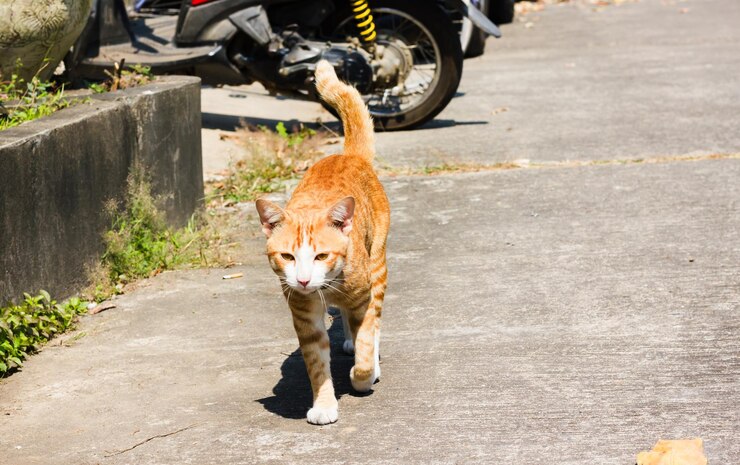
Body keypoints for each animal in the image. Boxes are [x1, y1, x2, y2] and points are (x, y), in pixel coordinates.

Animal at [258, 59, 390, 422]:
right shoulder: (305, 317)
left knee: (373, 320)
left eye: (321, 256)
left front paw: (363, 375)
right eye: (288, 257)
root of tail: (347, 155)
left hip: (378, 264)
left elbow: (366, 341)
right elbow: (317, 364)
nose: (303, 280)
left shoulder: (363, 296)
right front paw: (324, 404)